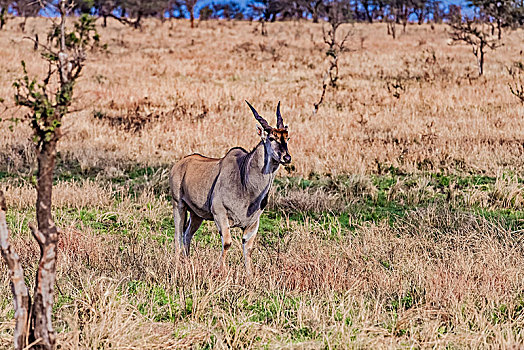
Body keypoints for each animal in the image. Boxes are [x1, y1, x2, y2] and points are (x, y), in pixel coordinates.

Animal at [170, 101, 290, 276]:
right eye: (272, 138)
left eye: (287, 137)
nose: (286, 157)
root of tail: (180, 163)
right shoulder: (220, 214)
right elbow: (227, 243)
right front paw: (220, 271)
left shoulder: (253, 223)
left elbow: (248, 248)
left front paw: (250, 276)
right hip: (178, 205)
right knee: (178, 235)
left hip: (196, 215)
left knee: (186, 235)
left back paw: (186, 262)